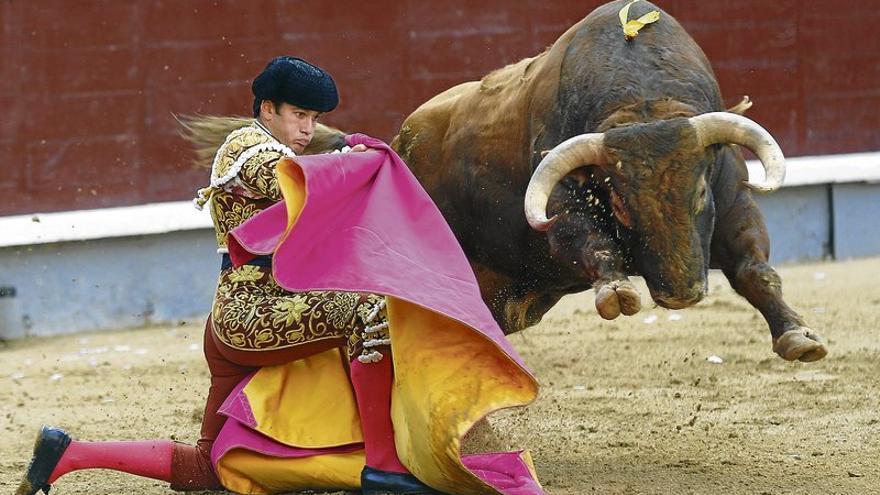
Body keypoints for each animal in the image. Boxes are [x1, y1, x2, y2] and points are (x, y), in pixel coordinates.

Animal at [392, 0, 824, 364]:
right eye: (619, 205)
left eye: (701, 191)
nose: (681, 295)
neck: (644, 103)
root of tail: (402, 140)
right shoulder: (562, 211)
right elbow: (593, 243)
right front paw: (617, 291)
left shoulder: (734, 201)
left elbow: (755, 270)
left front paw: (797, 336)